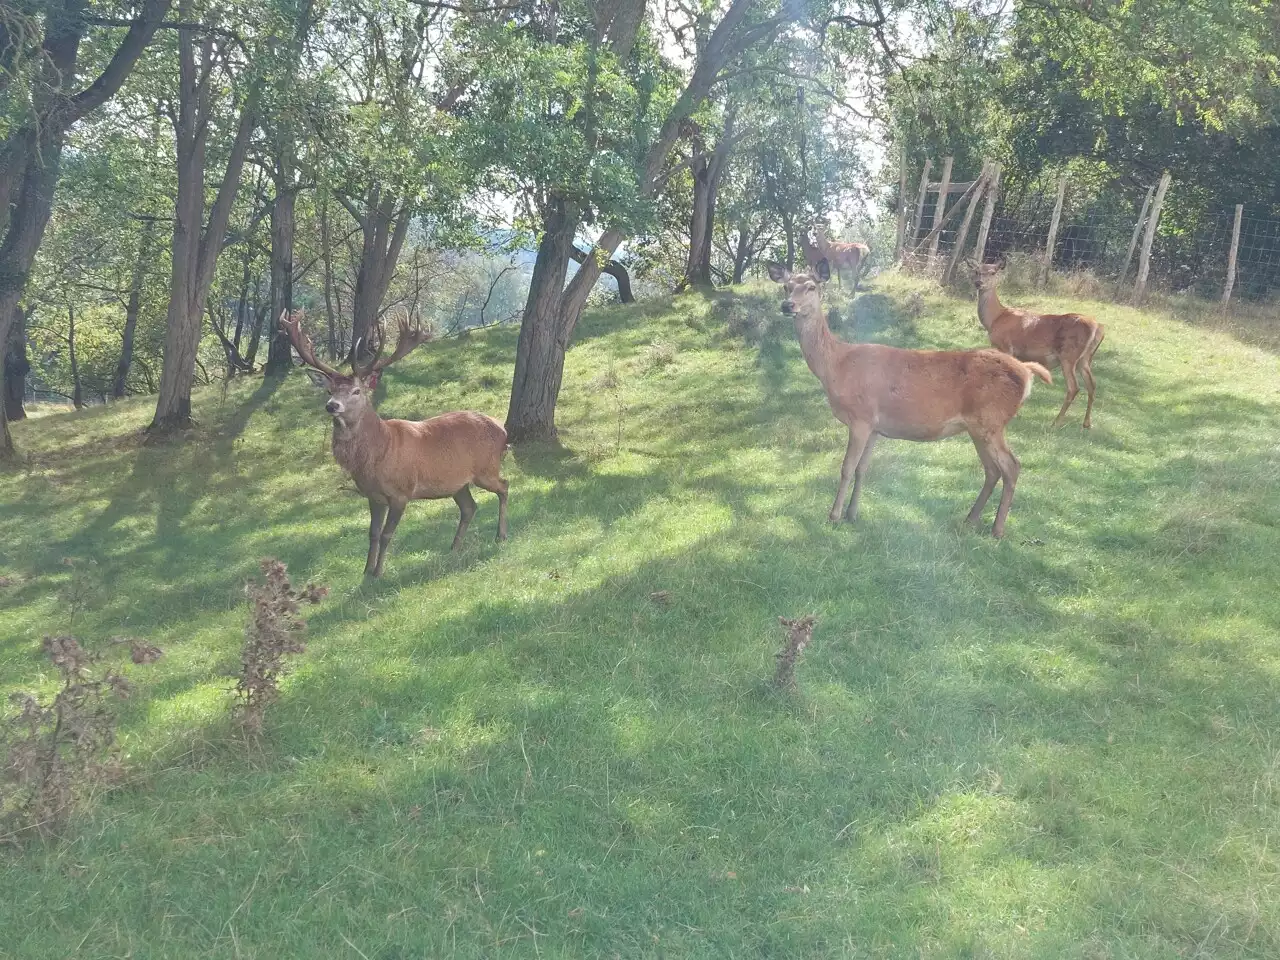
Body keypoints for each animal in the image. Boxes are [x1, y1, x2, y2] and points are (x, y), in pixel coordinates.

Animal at [284, 313, 509, 578]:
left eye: (356, 391)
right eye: (329, 390)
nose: (332, 406)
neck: (378, 454)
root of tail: (502, 429)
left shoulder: (401, 492)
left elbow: (386, 534)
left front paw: (378, 573)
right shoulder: (373, 496)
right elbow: (372, 533)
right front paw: (365, 571)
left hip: (486, 468)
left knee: (504, 486)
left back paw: (500, 535)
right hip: (458, 483)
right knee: (469, 507)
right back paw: (454, 548)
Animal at [768, 259, 1049, 537]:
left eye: (811, 287)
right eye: (785, 287)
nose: (787, 305)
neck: (837, 366)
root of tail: (1026, 372)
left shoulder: (860, 417)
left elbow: (847, 467)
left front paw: (834, 515)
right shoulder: (875, 427)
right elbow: (862, 469)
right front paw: (852, 514)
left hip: (991, 420)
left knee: (1011, 466)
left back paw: (997, 530)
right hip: (978, 427)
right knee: (992, 470)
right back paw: (970, 520)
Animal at [962, 263, 1105, 427]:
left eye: (993, 272)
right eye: (977, 271)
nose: (978, 283)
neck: (995, 318)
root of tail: (1097, 327)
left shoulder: (1005, 346)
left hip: (1069, 355)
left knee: (1073, 387)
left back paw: (1056, 422)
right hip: (1085, 358)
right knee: (1092, 384)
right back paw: (1086, 423)